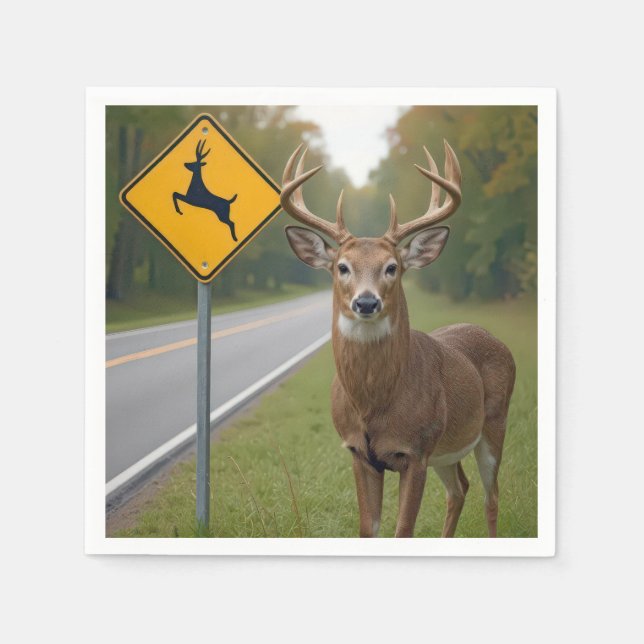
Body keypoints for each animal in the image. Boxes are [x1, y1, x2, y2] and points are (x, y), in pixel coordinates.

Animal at [280, 142, 516, 538]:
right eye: (342, 267)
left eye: (392, 267)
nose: (366, 301)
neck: (373, 403)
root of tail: (490, 334)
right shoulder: (358, 454)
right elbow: (368, 529)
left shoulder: (415, 452)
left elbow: (403, 530)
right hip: (446, 450)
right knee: (459, 489)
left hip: (494, 423)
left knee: (491, 496)